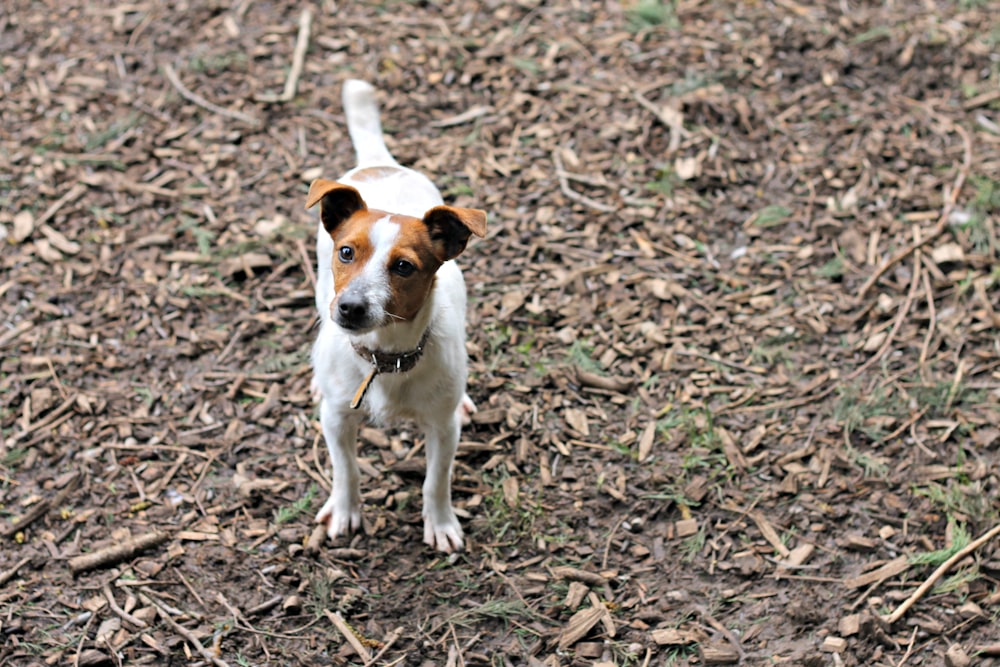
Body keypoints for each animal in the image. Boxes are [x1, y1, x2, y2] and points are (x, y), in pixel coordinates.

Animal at [308, 81, 488, 556]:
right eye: (346, 252)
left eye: (404, 267)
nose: (350, 307)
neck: (384, 357)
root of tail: (380, 164)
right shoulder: (337, 418)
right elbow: (347, 469)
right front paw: (346, 511)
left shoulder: (443, 428)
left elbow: (436, 481)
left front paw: (440, 523)